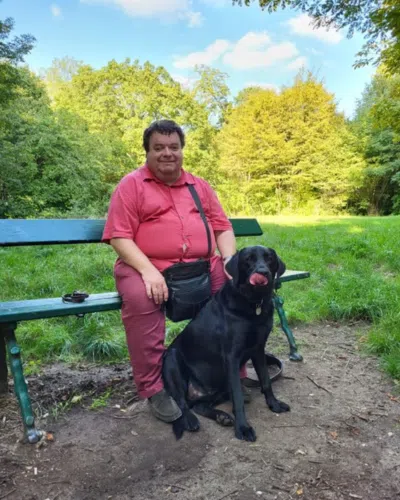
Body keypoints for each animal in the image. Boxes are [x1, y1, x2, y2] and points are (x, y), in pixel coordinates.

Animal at [162, 246, 290, 442]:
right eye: (248, 259)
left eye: (269, 259)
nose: (263, 272)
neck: (253, 304)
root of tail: (196, 392)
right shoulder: (232, 358)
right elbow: (237, 397)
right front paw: (243, 428)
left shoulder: (258, 350)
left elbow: (266, 381)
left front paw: (274, 404)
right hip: (173, 361)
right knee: (181, 402)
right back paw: (191, 420)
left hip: (219, 387)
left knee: (199, 406)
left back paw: (221, 416)